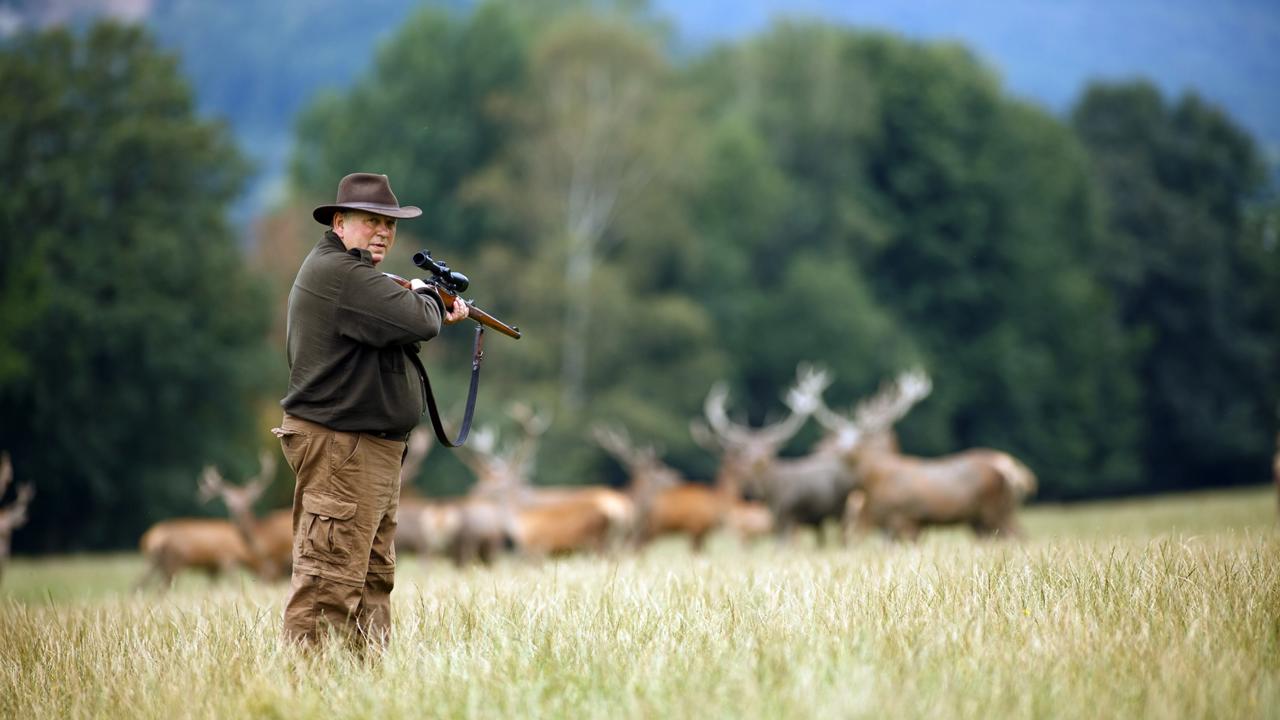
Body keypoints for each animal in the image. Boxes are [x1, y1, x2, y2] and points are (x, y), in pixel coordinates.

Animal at [808, 368, 1039, 538]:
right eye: (835, 436)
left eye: (859, 438)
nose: (818, 449)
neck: (874, 481)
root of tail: (1016, 473)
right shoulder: (892, 525)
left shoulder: (905, 518)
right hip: (981, 519)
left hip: (996, 511)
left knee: (1019, 536)